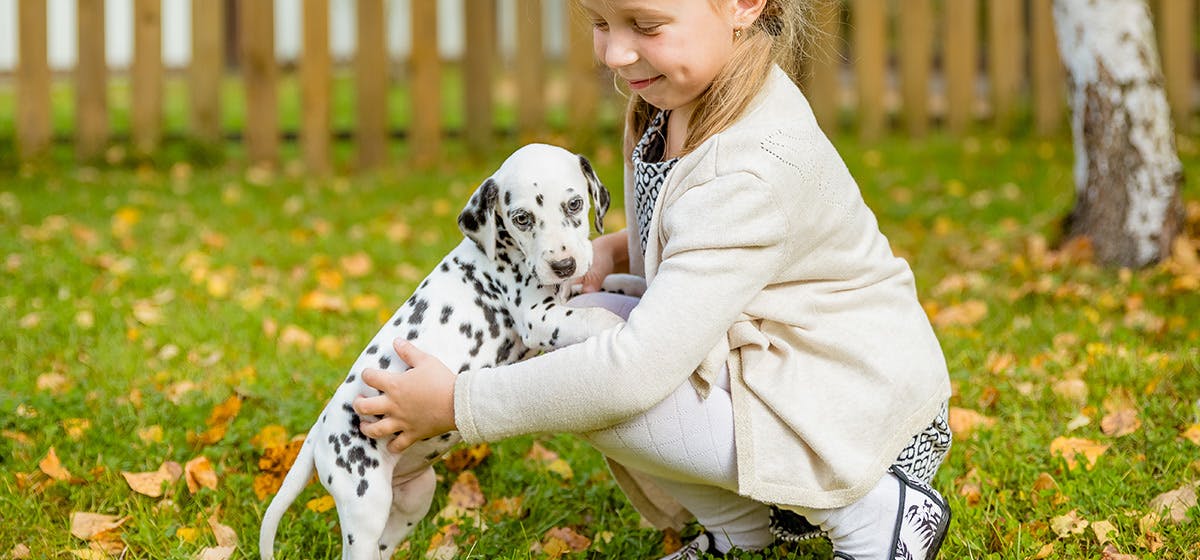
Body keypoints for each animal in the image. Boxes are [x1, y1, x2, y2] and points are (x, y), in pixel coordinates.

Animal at [258, 144, 633, 560]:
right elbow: (596, 316)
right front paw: (620, 323)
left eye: (575, 204)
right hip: (364, 502)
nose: (563, 265)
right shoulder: (539, 317)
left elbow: (612, 282)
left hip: (414, 495)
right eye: (521, 218)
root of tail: (317, 432)